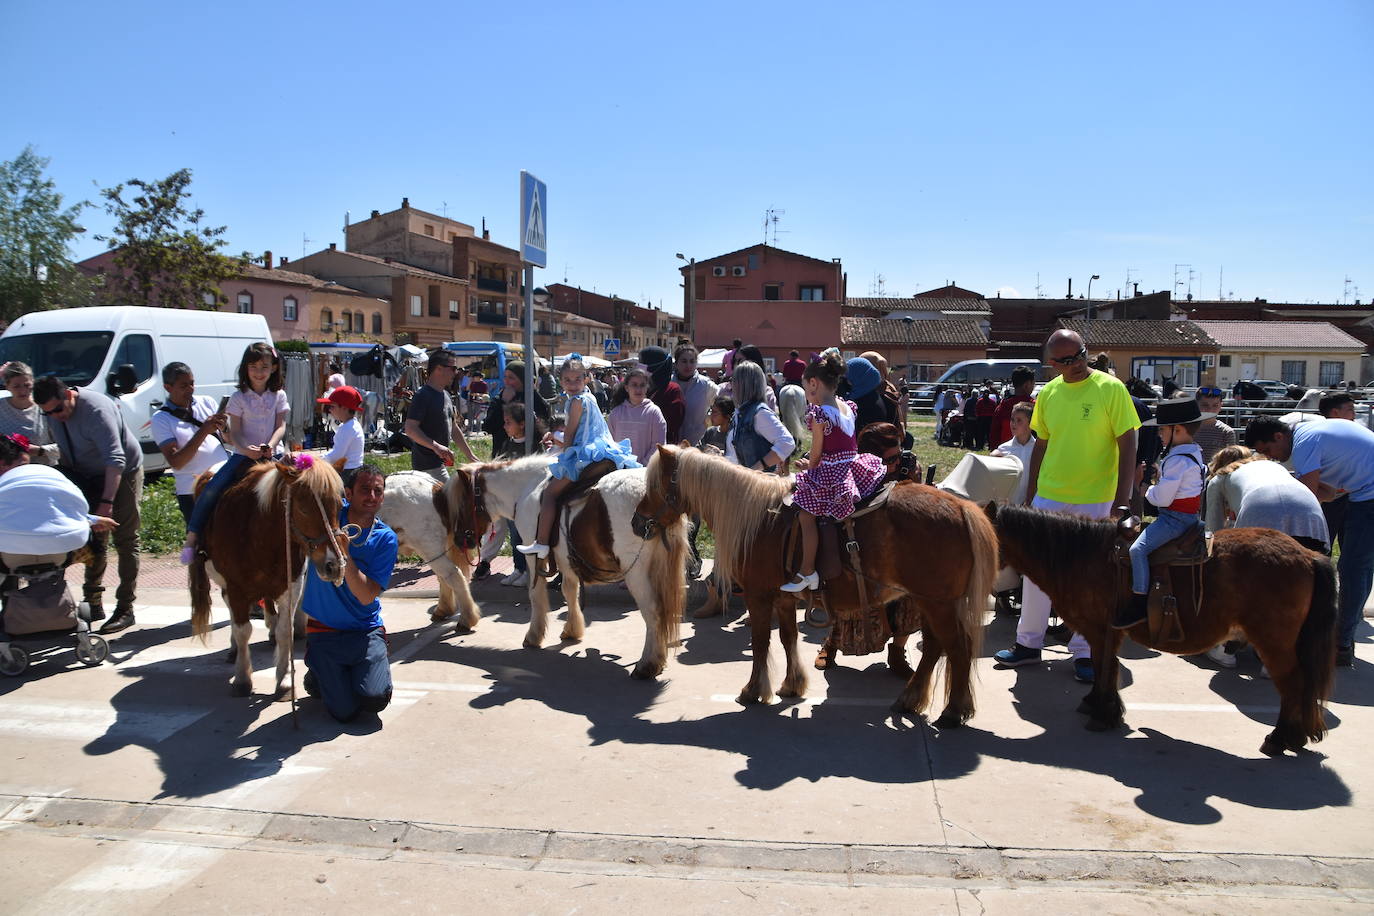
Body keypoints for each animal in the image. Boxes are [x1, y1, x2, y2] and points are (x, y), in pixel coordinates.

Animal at [189, 458, 348, 703]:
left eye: (339, 506)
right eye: (303, 508)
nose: (334, 565)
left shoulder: (290, 585)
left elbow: (285, 631)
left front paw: (283, 681)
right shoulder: (236, 589)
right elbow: (243, 631)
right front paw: (242, 679)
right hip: (224, 584)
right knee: (232, 614)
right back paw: (234, 649)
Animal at [632, 444, 1000, 725]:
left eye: (655, 486)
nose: (637, 522)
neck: (759, 519)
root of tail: (963, 507)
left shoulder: (758, 596)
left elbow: (761, 641)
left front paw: (753, 691)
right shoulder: (782, 599)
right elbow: (787, 638)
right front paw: (792, 685)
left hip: (936, 603)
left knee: (957, 648)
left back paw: (953, 712)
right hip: (932, 602)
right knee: (937, 647)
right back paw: (910, 699)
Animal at [989, 505, 1341, 758]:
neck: (1083, 557)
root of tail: (1309, 556)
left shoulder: (1103, 631)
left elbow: (1106, 668)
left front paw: (1103, 714)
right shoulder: (1100, 633)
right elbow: (1104, 668)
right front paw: (1096, 704)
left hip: (1273, 643)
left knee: (1293, 685)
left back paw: (1278, 739)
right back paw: (1296, 737)